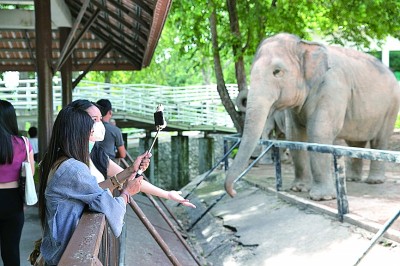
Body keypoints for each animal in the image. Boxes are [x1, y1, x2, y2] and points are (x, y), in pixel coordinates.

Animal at [225, 32, 400, 200]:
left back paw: (374, 181)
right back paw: (352, 179)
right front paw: (298, 189)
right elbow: (295, 136)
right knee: (356, 143)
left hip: (391, 108)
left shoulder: (332, 88)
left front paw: (321, 197)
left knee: (379, 140)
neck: (305, 44)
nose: (233, 192)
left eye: (277, 72)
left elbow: (319, 133)